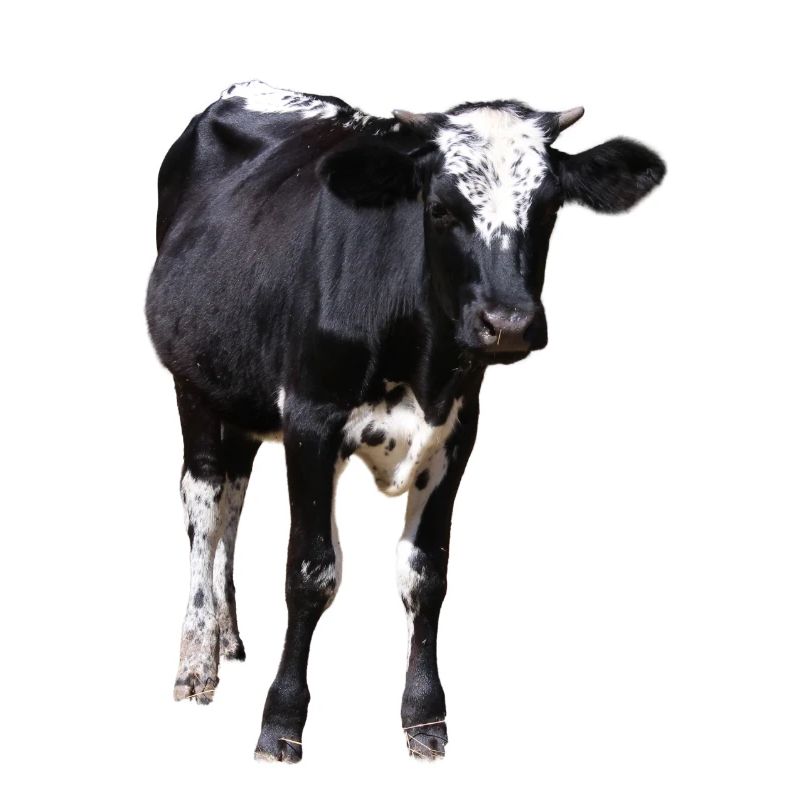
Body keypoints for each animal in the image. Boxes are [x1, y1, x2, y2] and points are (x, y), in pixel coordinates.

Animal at [145, 80, 665, 762]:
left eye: (550, 206)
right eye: (440, 208)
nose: (509, 323)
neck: (420, 362)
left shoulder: (456, 433)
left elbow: (426, 574)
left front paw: (424, 716)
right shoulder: (311, 420)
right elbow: (310, 571)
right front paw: (281, 720)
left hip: (245, 393)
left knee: (233, 494)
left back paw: (229, 639)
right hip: (194, 383)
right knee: (204, 503)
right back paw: (197, 657)